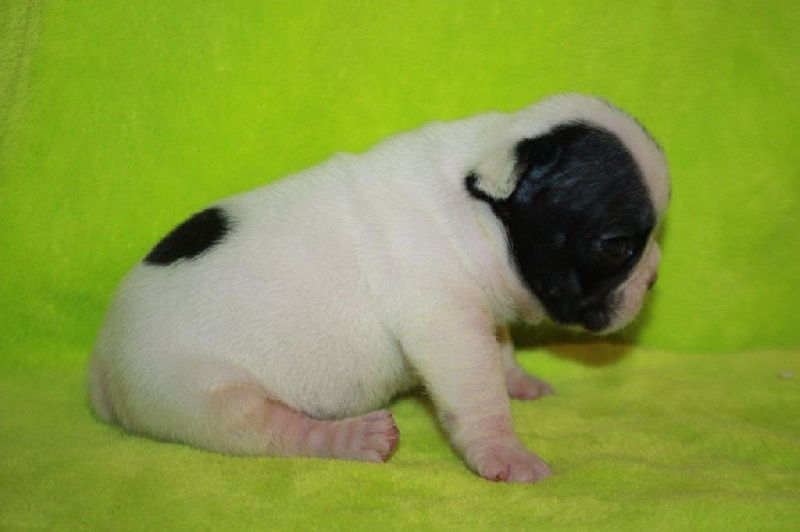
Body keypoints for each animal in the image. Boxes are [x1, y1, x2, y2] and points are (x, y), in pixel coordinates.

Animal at [87, 94, 668, 482]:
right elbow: (478, 391)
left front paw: (520, 380)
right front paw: (504, 453)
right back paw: (353, 438)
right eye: (618, 246)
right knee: (270, 429)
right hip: (201, 395)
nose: (657, 273)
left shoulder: (480, 309)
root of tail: (101, 369)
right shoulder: (448, 325)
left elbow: (499, 350)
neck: (476, 210)